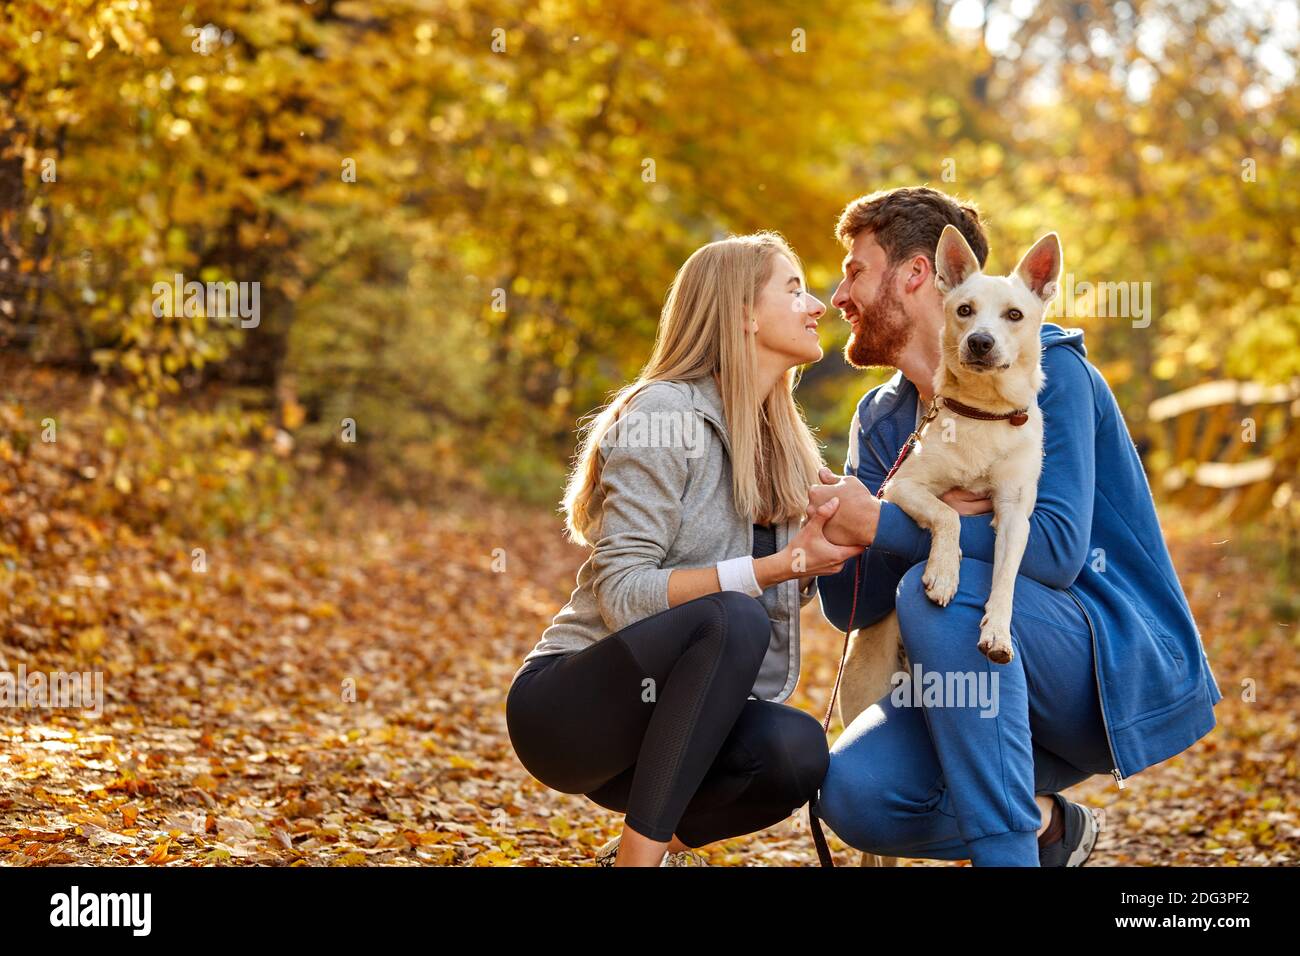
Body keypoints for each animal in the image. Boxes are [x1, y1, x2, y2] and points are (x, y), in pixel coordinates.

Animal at [837, 223, 1060, 868]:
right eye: (963, 310)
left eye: (1014, 314)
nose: (981, 341)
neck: (983, 415)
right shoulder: (905, 487)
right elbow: (949, 519)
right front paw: (942, 574)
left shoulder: (1017, 515)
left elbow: (1004, 579)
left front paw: (996, 630)